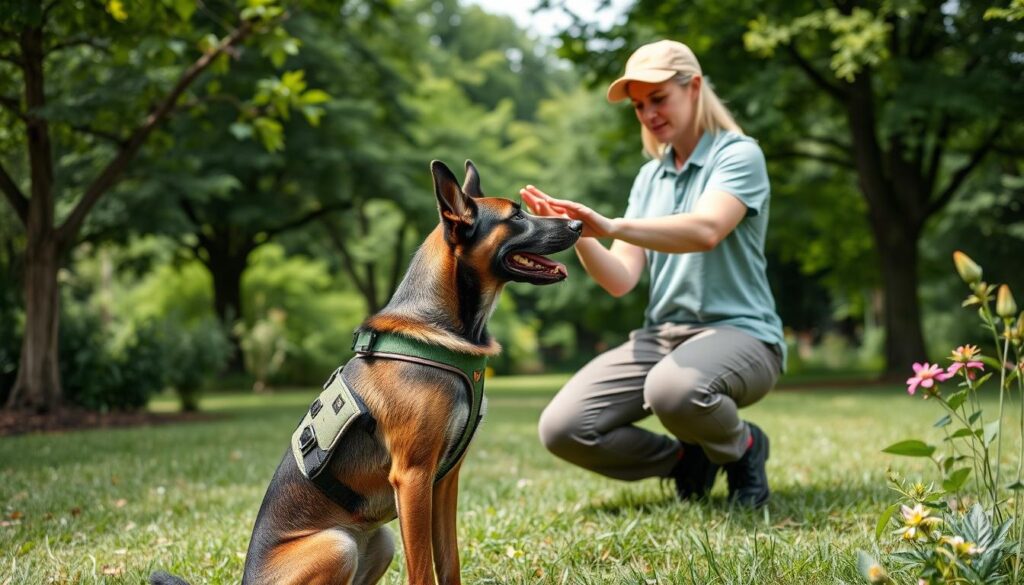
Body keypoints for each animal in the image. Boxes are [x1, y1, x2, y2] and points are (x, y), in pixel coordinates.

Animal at [151, 159, 585, 585]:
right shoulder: (412, 477)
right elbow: (423, 572)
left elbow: (449, 562)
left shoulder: (445, 482)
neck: (444, 327)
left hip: (380, 541)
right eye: (516, 216)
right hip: (338, 544)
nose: (579, 224)